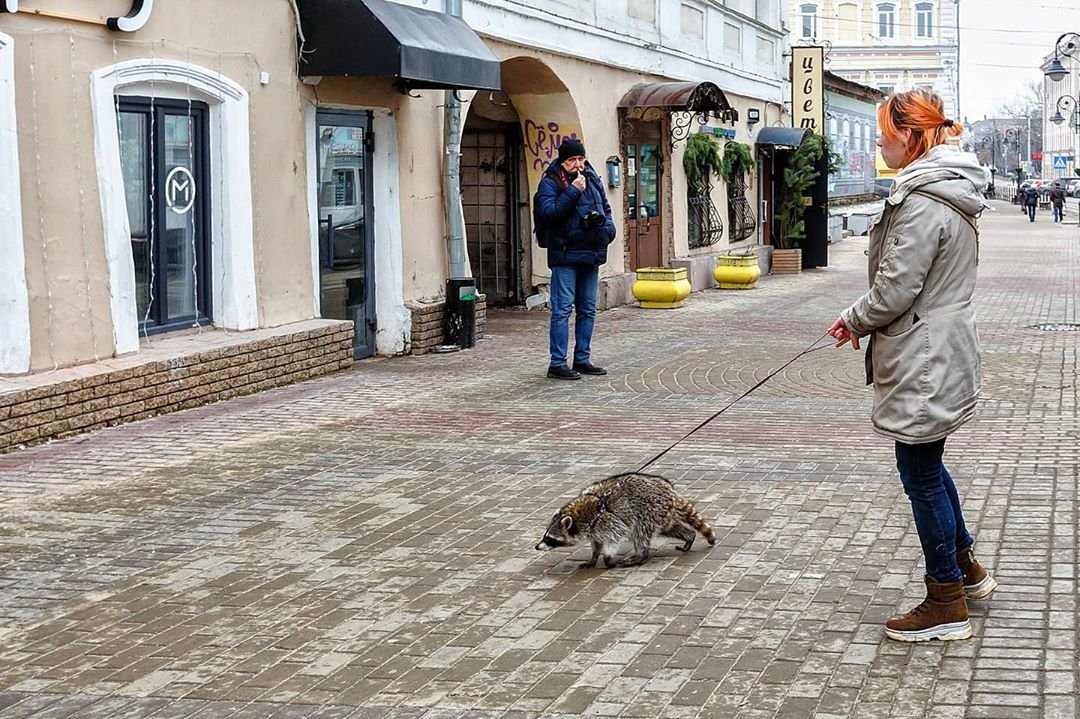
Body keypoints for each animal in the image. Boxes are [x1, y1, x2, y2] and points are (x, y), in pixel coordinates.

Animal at [533, 470, 717, 565]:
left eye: (550, 539)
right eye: (545, 536)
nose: (537, 546)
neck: (576, 515)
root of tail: (670, 491)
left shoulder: (607, 521)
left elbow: (615, 535)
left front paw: (608, 558)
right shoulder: (595, 528)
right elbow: (596, 543)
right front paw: (594, 558)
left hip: (649, 511)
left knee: (640, 533)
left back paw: (641, 556)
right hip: (663, 514)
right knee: (670, 528)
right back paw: (689, 536)